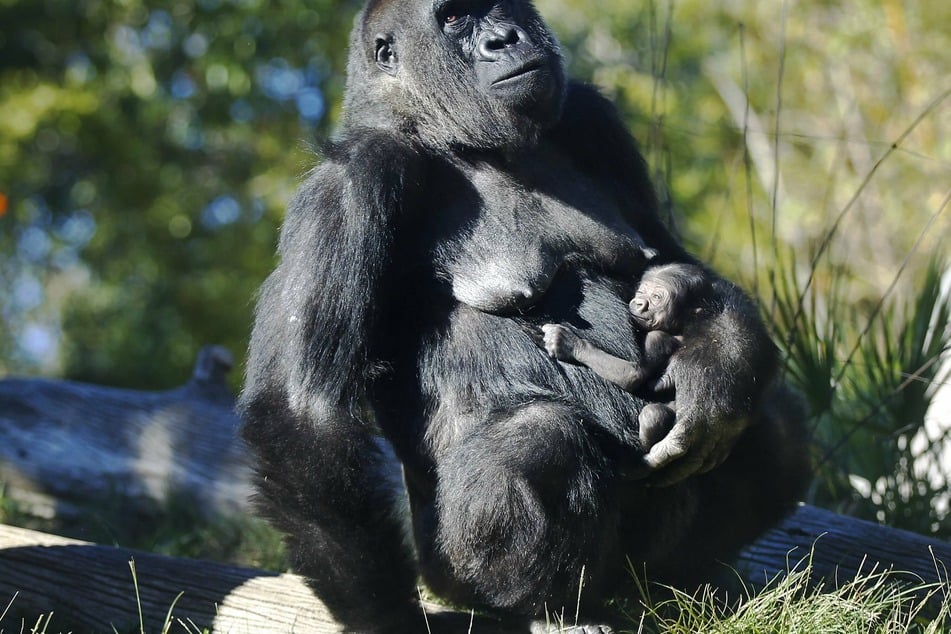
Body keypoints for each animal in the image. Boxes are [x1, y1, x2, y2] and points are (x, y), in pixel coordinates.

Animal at [548, 262, 740, 450]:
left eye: (656, 297)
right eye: (641, 292)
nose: (639, 303)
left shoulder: (657, 339)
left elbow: (633, 374)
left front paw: (570, 344)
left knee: (652, 415)